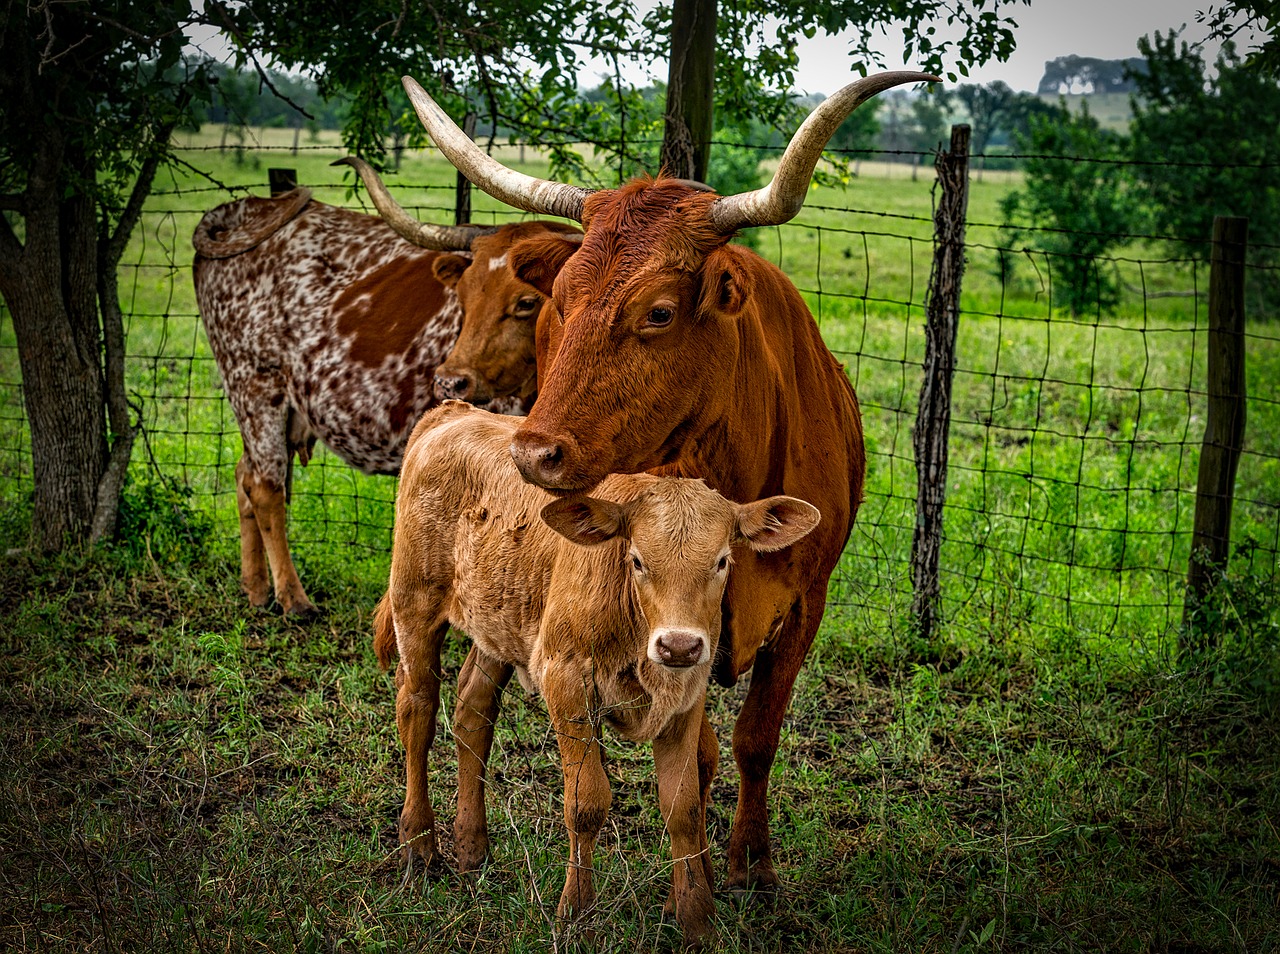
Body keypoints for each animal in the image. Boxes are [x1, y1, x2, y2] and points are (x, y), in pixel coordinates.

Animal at [192, 171, 578, 614]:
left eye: (527, 302)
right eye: (462, 297)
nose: (451, 381)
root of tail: (244, 208)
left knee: (244, 474)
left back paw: (255, 587)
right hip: (254, 384)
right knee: (265, 486)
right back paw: (292, 596)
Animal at [371, 396, 819, 942]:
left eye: (721, 561)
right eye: (637, 560)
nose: (678, 644)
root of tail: (454, 412)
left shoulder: (687, 696)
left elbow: (683, 807)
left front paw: (697, 921)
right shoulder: (566, 681)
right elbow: (586, 802)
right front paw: (576, 912)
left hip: (499, 624)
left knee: (472, 712)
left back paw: (472, 849)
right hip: (414, 603)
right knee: (417, 713)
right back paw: (419, 846)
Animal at [394, 68, 947, 891]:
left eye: (657, 312)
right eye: (559, 303)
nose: (534, 453)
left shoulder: (804, 604)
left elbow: (756, 738)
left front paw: (752, 863)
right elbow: (707, 754)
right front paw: (705, 871)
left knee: (470, 700)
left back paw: (469, 840)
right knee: (424, 699)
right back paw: (423, 842)